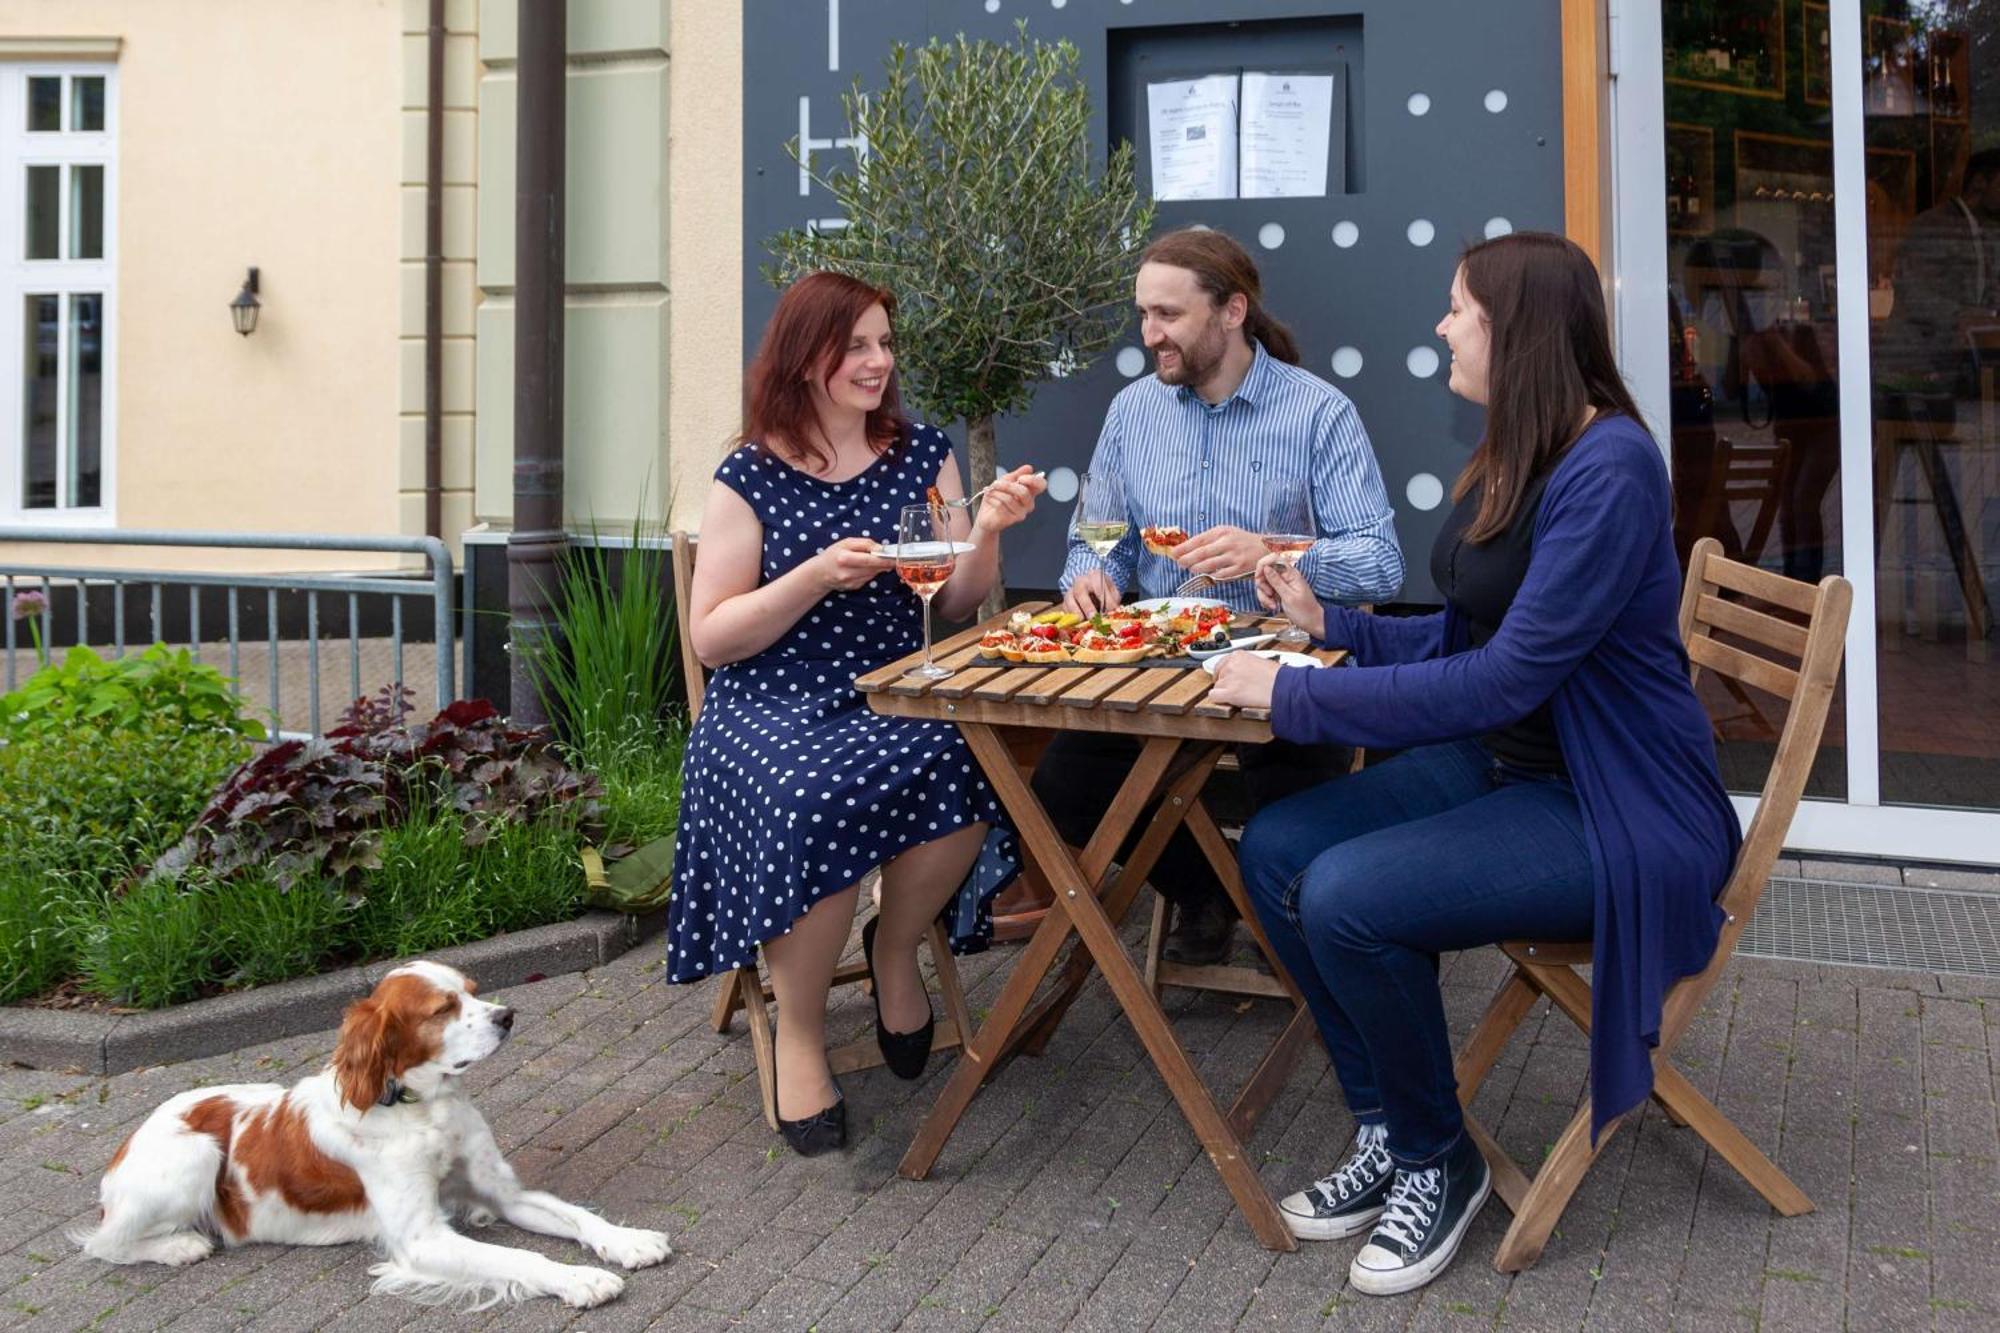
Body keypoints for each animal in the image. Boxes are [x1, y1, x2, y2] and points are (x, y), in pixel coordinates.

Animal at [74, 956, 668, 1304]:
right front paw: (581, 1279)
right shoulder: (422, 1237)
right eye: (443, 1007)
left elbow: (577, 1217)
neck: (422, 1107)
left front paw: (629, 1241)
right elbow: (520, 1258)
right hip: (194, 1153)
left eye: (474, 990)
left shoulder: (502, 1193)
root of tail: (132, 1136)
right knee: (105, 1242)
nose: (507, 1016)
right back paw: (178, 1247)